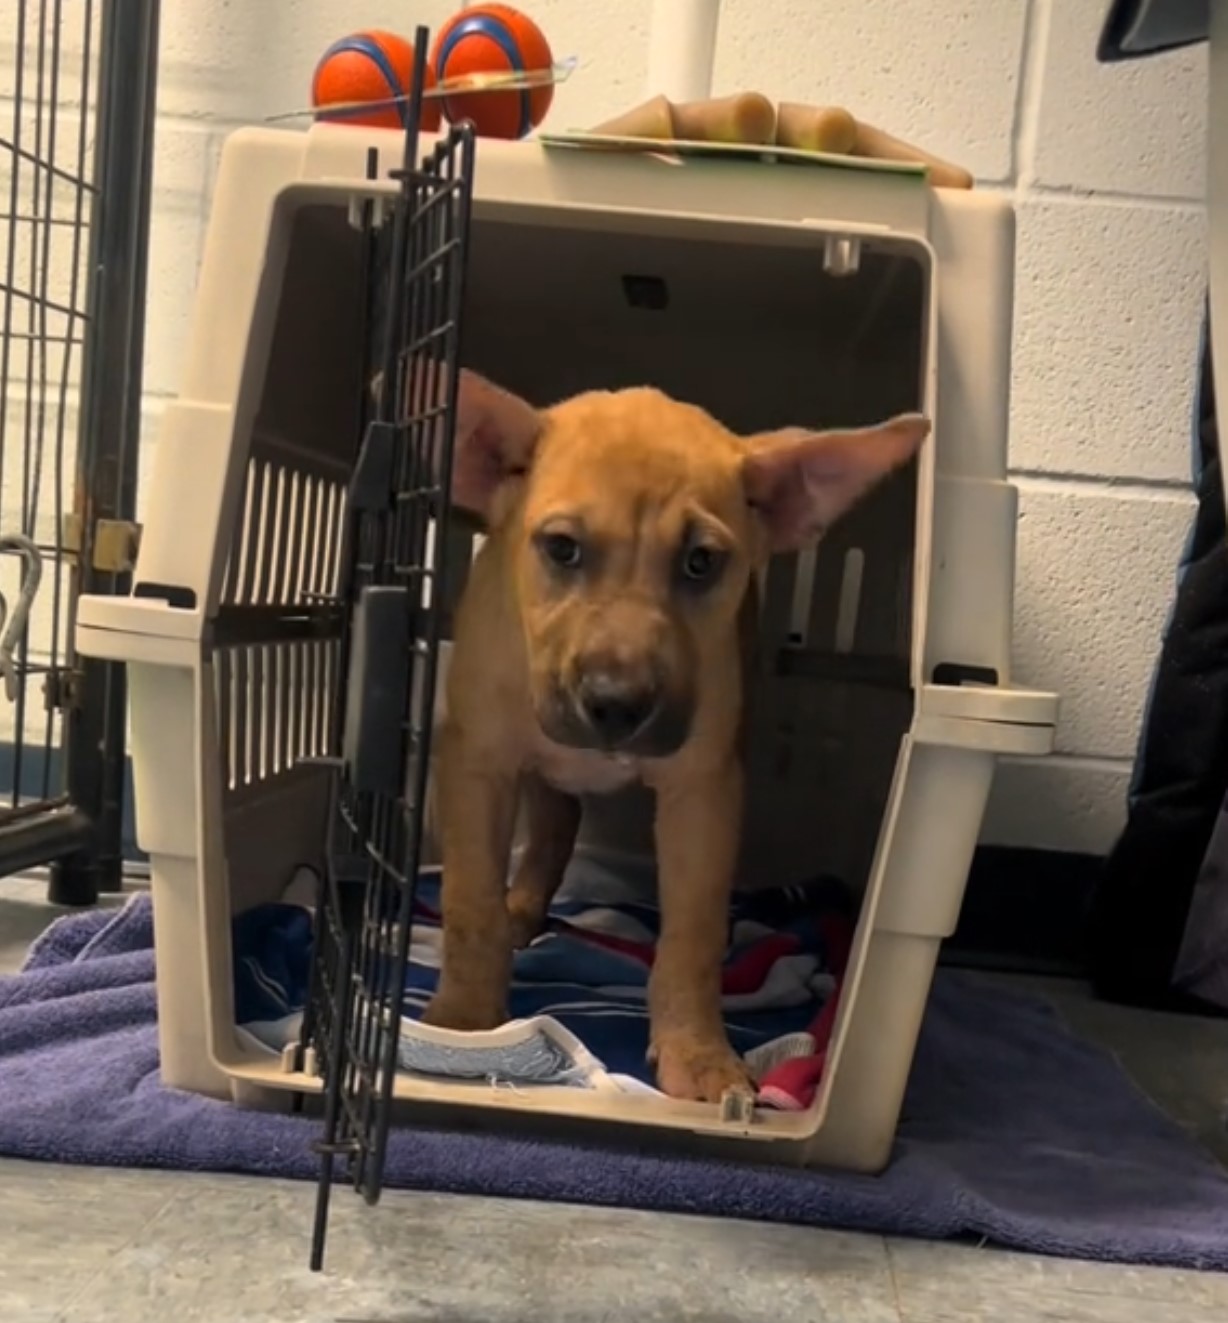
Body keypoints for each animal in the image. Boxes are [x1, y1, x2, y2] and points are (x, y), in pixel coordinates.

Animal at [423, 373, 931, 1106]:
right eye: (561, 548)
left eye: (701, 562)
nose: (615, 703)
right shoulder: (477, 764)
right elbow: (469, 901)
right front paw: (463, 1022)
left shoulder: (703, 791)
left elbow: (691, 937)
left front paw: (699, 1053)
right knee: (551, 825)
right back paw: (521, 909)